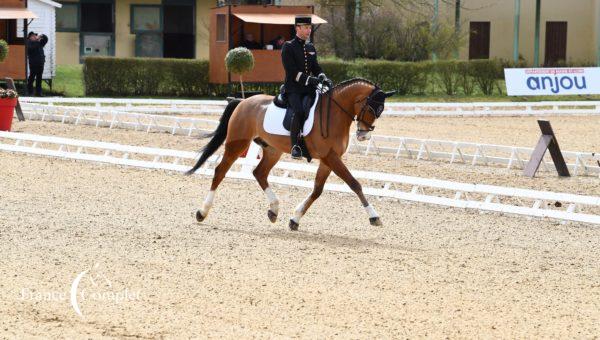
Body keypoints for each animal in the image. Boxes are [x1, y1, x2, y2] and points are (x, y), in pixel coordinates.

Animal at [185, 78, 396, 230]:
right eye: (372, 108)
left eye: (381, 110)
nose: (363, 135)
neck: (335, 113)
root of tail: (243, 101)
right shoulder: (330, 157)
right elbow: (354, 183)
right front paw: (374, 216)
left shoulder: (328, 159)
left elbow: (317, 190)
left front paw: (295, 219)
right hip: (237, 144)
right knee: (220, 171)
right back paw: (202, 212)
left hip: (272, 150)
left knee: (259, 173)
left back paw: (274, 210)